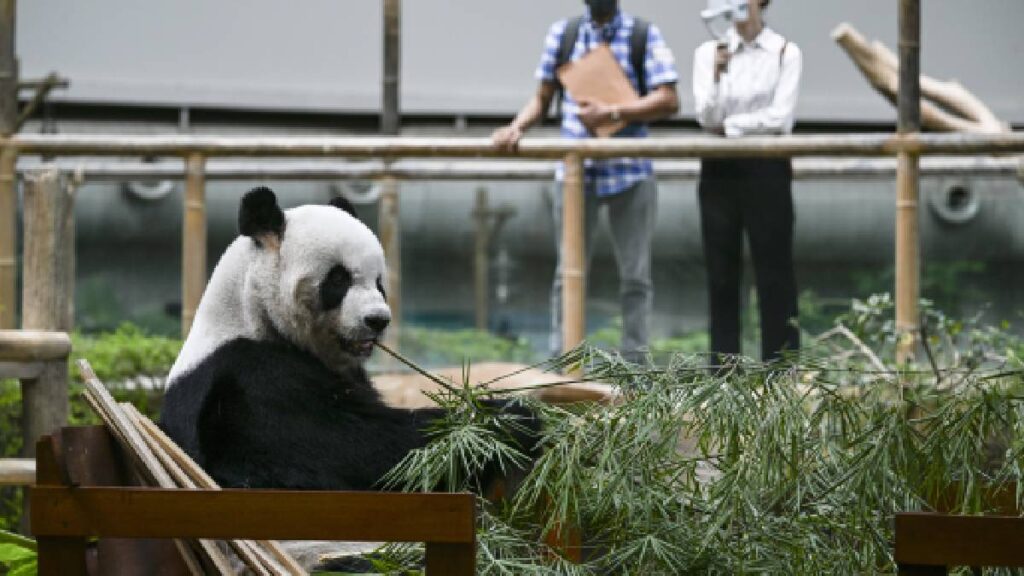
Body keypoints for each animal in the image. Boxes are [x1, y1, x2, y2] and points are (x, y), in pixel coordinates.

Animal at [160, 186, 537, 492]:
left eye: (379, 281)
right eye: (338, 279)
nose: (377, 320)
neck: (249, 313)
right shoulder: (251, 383)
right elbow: (356, 448)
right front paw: (510, 419)